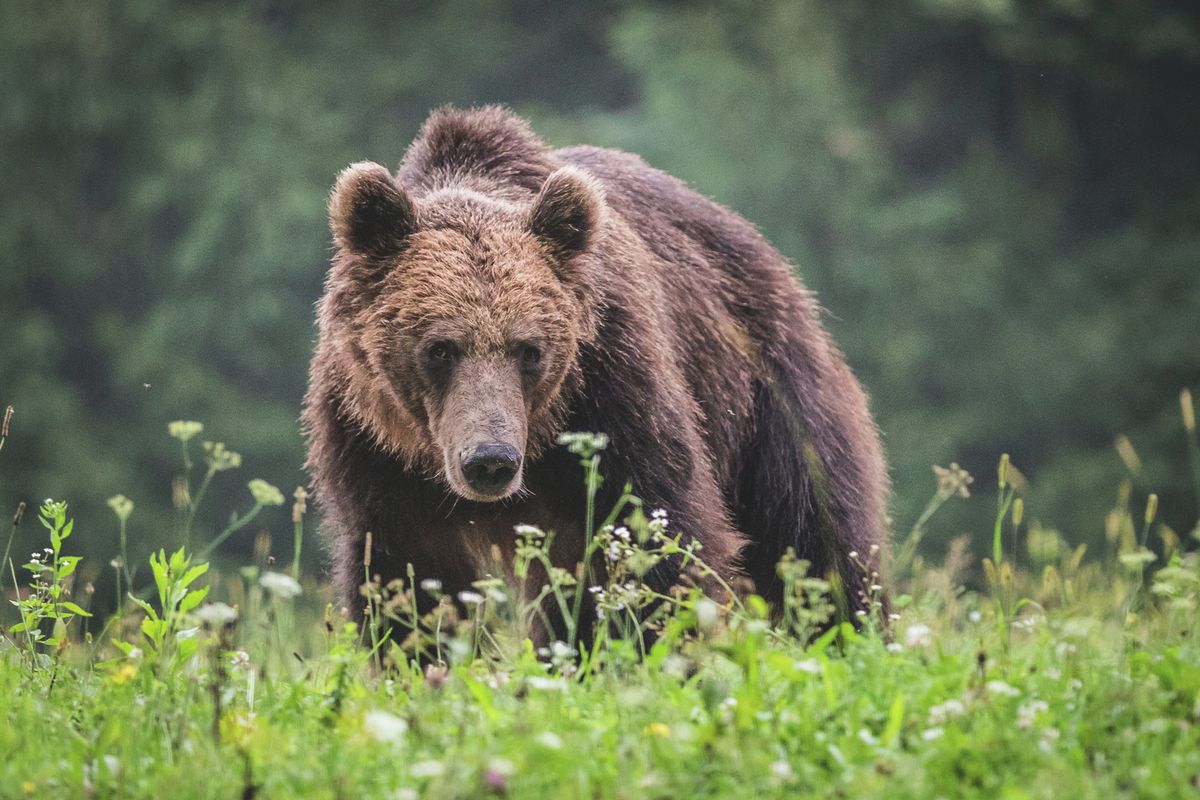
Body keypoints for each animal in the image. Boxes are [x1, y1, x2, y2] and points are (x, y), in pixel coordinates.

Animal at [304, 104, 888, 633]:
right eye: (440, 348)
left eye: (529, 349)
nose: (490, 460)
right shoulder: (375, 447)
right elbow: (404, 579)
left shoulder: (615, 389)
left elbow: (660, 539)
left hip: (766, 391)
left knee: (813, 530)